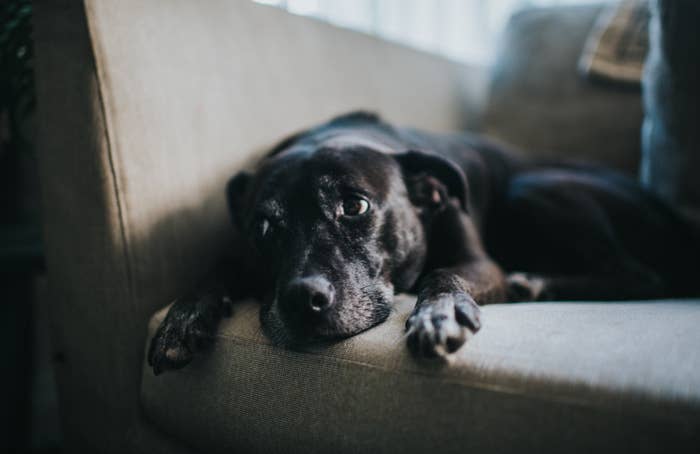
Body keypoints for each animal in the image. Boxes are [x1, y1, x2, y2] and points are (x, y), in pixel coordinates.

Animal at [148, 111, 700, 374]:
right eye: (264, 227)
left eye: (355, 206)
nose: (302, 299)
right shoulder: (239, 252)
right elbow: (215, 268)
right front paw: (183, 319)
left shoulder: (478, 263)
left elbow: (444, 271)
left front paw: (439, 311)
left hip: (530, 189)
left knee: (643, 276)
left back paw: (537, 282)